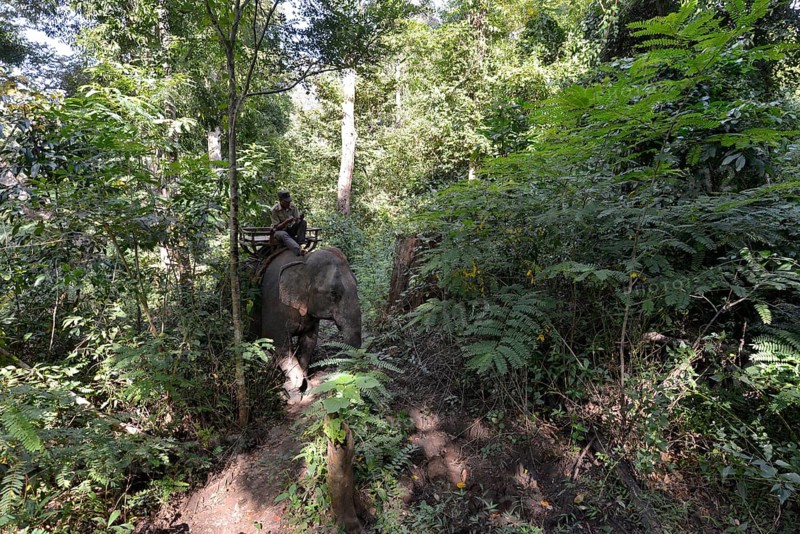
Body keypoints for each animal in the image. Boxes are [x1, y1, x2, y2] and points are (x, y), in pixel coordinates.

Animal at [257, 246, 362, 401]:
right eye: (333, 293)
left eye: (356, 283)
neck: (303, 262)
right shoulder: (273, 305)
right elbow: (279, 344)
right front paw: (291, 391)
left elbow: (309, 342)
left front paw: (306, 388)